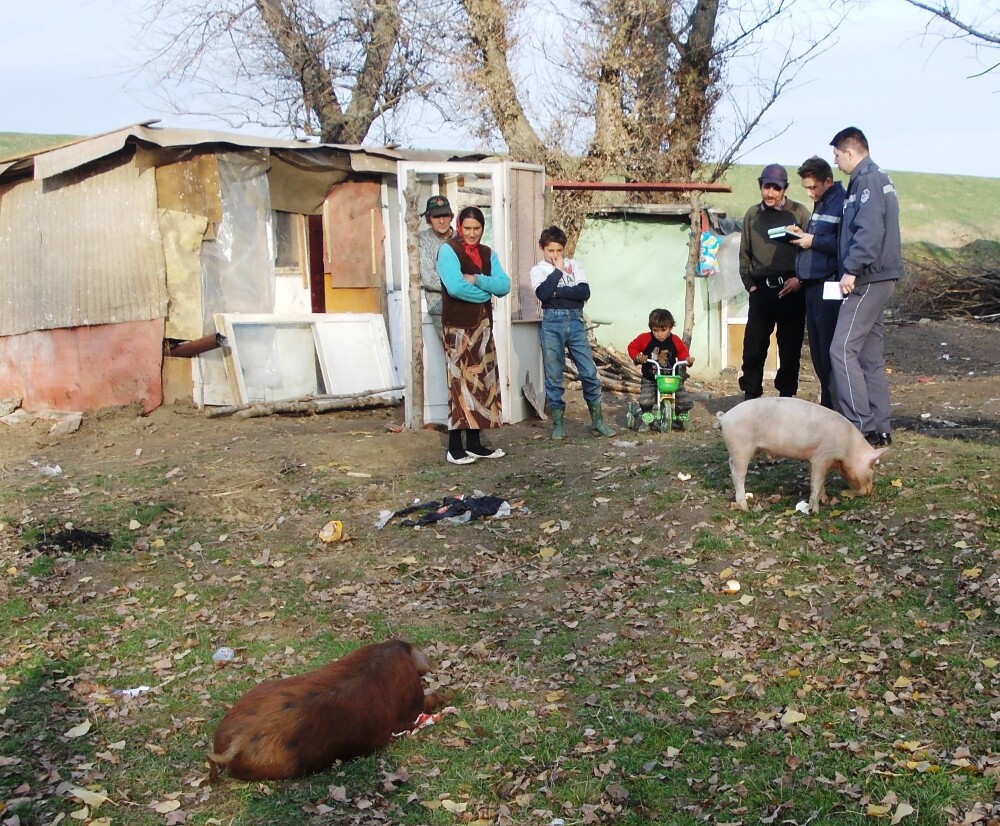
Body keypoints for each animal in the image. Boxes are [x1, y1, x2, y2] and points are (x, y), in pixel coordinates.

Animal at [720, 396, 892, 512]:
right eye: (871, 469)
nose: (869, 492)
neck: (848, 447)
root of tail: (724, 417)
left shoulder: (812, 458)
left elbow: (817, 480)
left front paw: (825, 501)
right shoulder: (822, 456)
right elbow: (816, 482)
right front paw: (815, 510)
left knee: (731, 465)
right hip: (741, 448)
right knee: (738, 474)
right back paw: (745, 507)